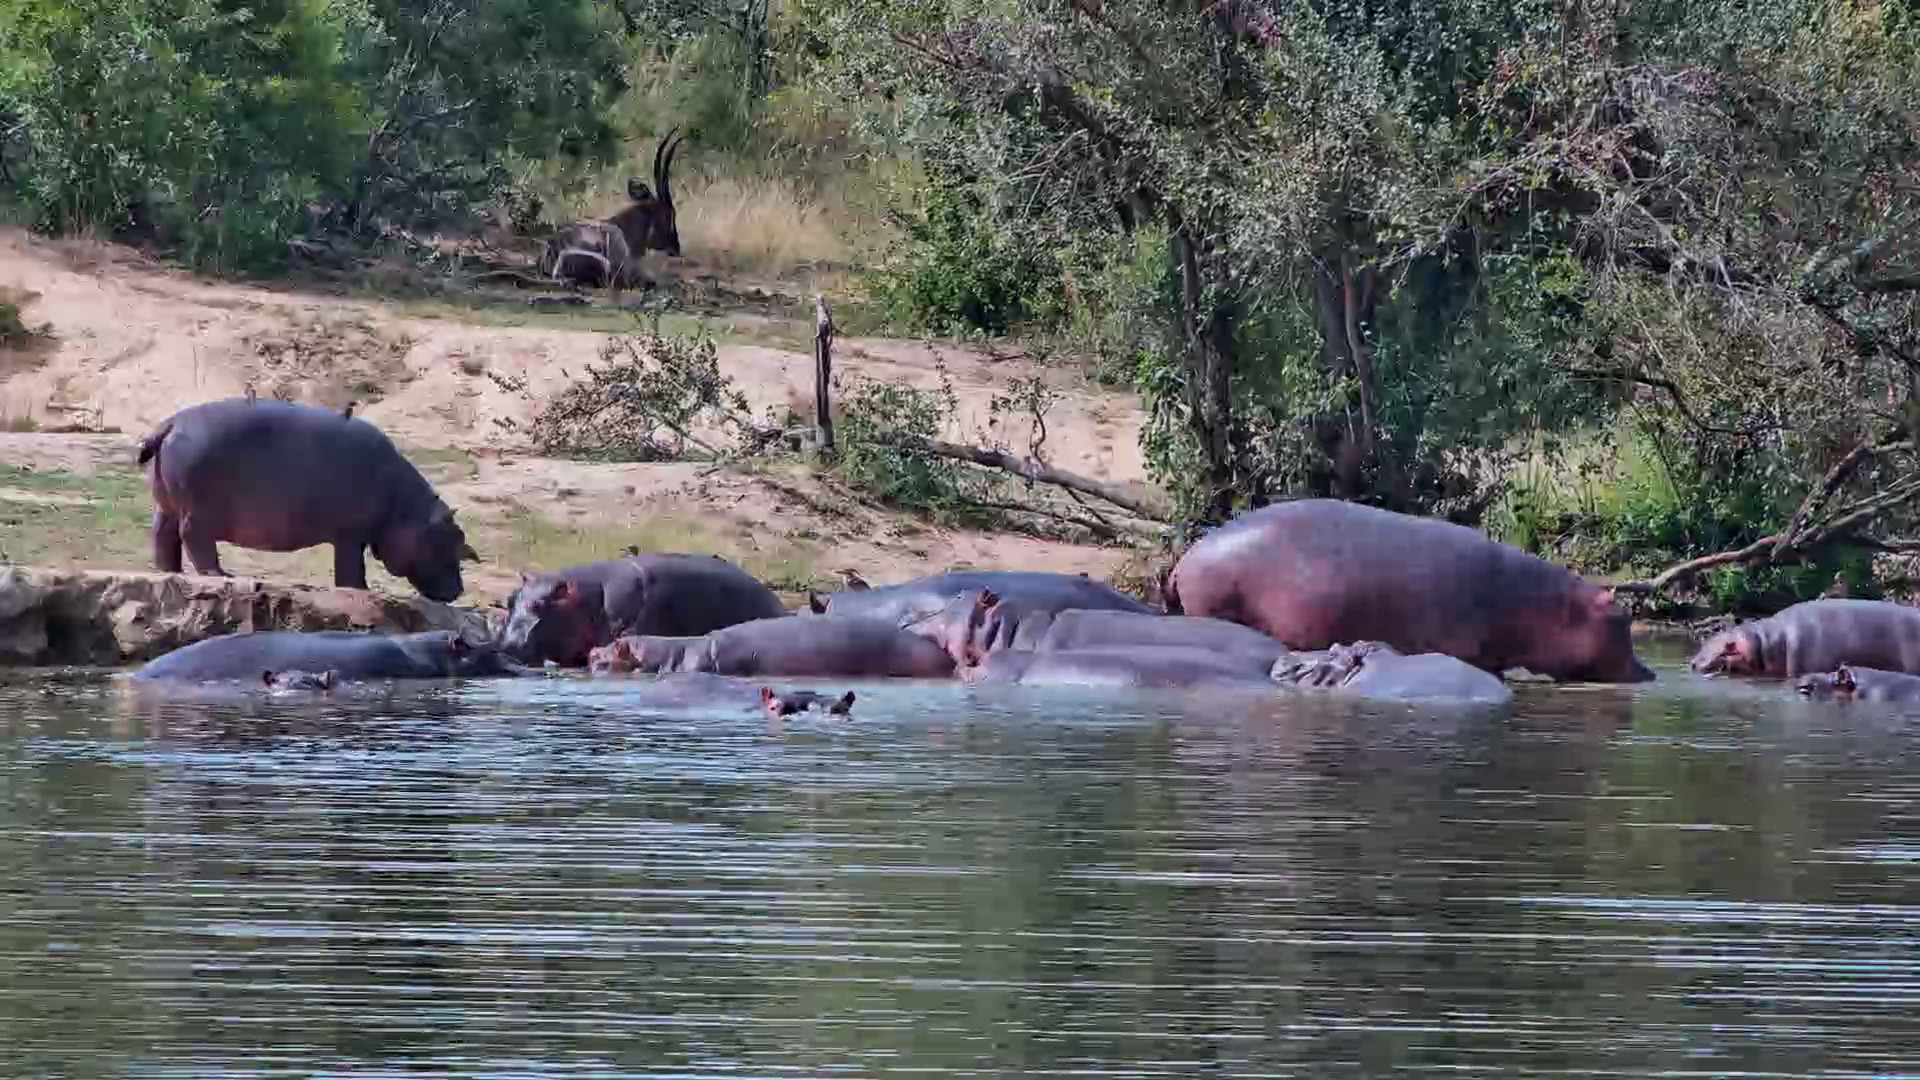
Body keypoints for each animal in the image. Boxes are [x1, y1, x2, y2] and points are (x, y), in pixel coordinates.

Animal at [138, 398, 479, 601]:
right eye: (452, 539)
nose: (460, 590)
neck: (407, 509)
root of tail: (170, 424)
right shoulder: (350, 535)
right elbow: (351, 568)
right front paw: (361, 590)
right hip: (199, 512)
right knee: (193, 537)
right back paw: (219, 575)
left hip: (166, 505)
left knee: (162, 535)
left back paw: (171, 572)